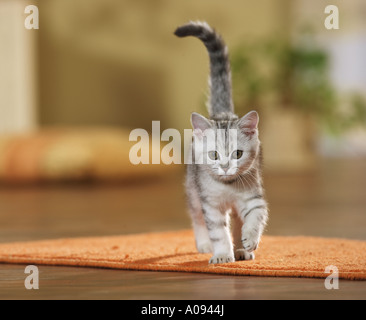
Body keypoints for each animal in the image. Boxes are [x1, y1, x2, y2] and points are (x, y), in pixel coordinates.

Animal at [174, 21, 268, 264]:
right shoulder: (211, 204)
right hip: (193, 192)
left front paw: (249, 241)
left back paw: (242, 249)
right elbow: (217, 231)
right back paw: (205, 244)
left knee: (236, 222)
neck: (228, 187)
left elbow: (255, 217)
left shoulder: (252, 196)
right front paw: (222, 254)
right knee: (197, 218)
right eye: (214, 155)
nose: (225, 167)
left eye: (238, 154)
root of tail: (222, 113)